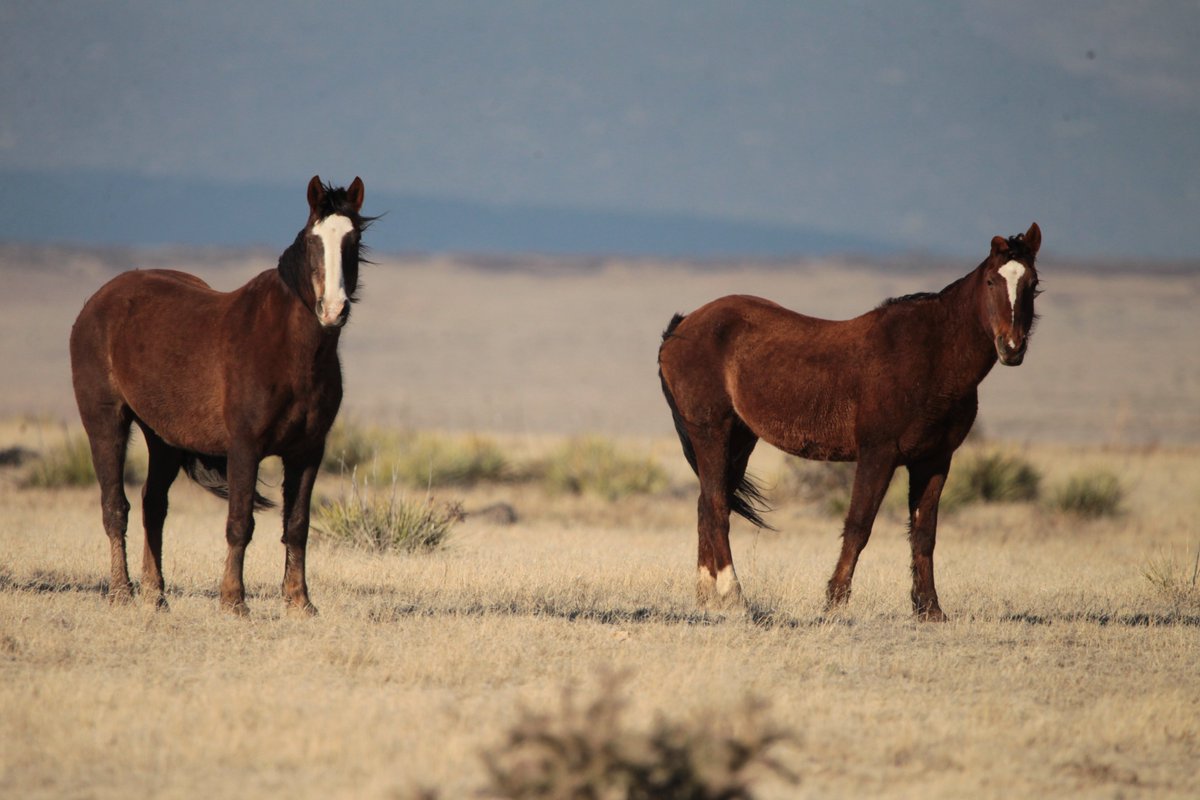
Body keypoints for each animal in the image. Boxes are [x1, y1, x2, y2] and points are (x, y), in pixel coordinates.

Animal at [70, 176, 369, 614]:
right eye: (314, 242)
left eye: (353, 240)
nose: (332, 309)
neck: (290, 349)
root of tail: (97, 301)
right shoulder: (244, 447)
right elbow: (240, 522)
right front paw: (233, 601)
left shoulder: (308, 451)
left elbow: (297, 525)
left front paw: (300, 601)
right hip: (106, 421)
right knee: (115, 508)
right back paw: (122, 592)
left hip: (164, 438)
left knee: (152, 505)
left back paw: (156, 595)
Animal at [657, 221, 1041, 623]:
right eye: (992, 282)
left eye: (1032, 283)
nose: (1011, 347)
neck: (932, 355)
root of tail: (682, 326)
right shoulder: (878, 454)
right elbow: (859, 525)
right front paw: (834, 602)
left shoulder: (934, 460)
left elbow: (924, 533)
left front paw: (930, 609)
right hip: (710, 432)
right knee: (716, 505)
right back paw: (734, 595)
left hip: (740, 439)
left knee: (707, 503)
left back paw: (707, 596)